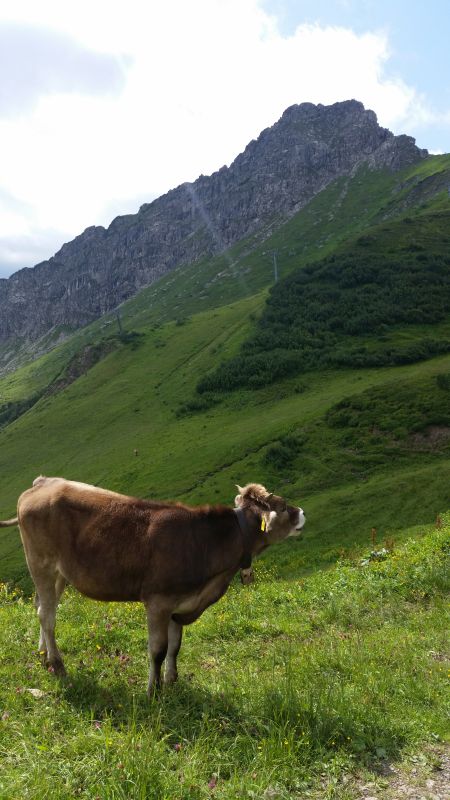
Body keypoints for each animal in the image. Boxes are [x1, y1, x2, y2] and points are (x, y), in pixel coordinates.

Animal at [0, 476, 305, 695]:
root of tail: (42, 483)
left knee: (42, 608)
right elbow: (158, 650)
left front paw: (171, 681)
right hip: (41, 563)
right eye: (282, 506)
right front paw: (153, 690)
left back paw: (43, 657)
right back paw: (58, 664)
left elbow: (175, 646)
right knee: (47, 616)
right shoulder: (159, 602)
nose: (302, 512)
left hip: (58, 575)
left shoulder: (180, 603)